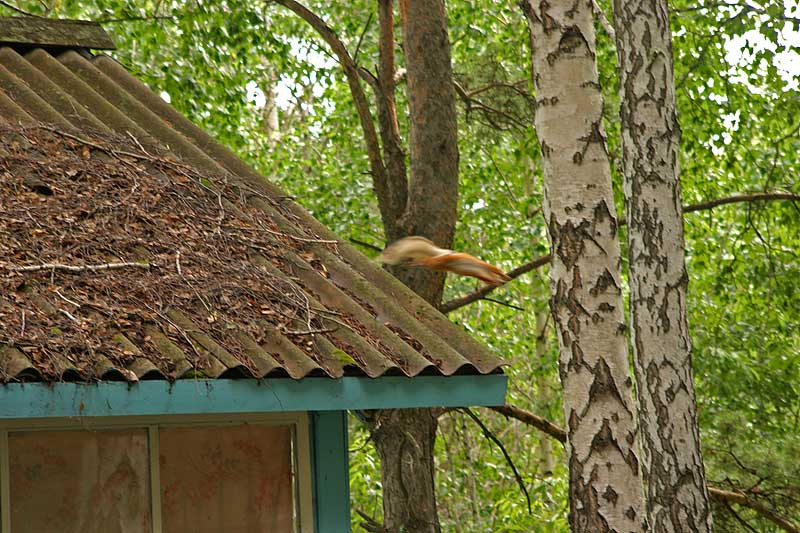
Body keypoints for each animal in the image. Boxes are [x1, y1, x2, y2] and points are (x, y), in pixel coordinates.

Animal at [378, 236, 511, 286]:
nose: (503, 282)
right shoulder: (486, 271)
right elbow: (497, 272)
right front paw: (505, 277)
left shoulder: (484, 275)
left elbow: (493, 278)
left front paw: (501, 281)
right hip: (439, 260)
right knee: (426, 261)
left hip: (437, 263)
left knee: (425, 261)